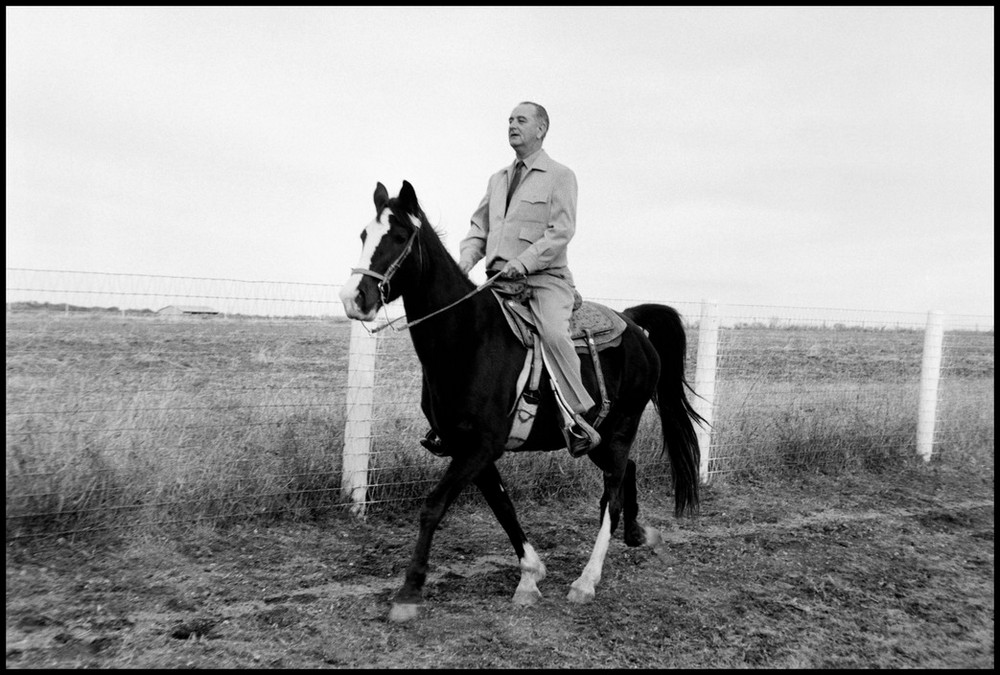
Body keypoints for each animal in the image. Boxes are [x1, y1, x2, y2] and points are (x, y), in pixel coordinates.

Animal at [340, 181, 700, 624]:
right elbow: (502, 506)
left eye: (400, 236)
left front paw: (409, 592)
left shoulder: (480, 447)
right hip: (604, 437)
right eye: (363, 235)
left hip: (621, 427)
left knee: (612, 495)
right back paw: (638, 534)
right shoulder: (466, 448)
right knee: (626, 473)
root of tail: (633, 323)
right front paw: (530, 574)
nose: (354, 298)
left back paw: (586, 581)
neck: (470, 340)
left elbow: (434, 506)